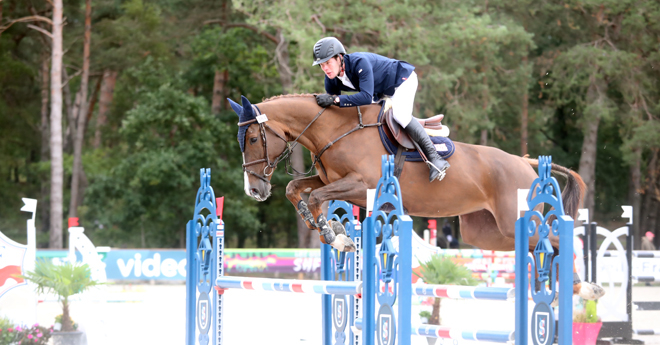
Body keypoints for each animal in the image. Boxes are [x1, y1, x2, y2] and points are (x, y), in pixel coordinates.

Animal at [229, 93, 604, 298]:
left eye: (253, 139)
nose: (254, 190)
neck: (337, 130)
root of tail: (525, 162)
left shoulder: (360, 185)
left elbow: (318, 196)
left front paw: (336, 236)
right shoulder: (328, 178)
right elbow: (298, 190)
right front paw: (329, 230)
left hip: (512, 220)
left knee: (555, 238)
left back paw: (582, 288)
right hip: (486, 232)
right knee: (540, 242)